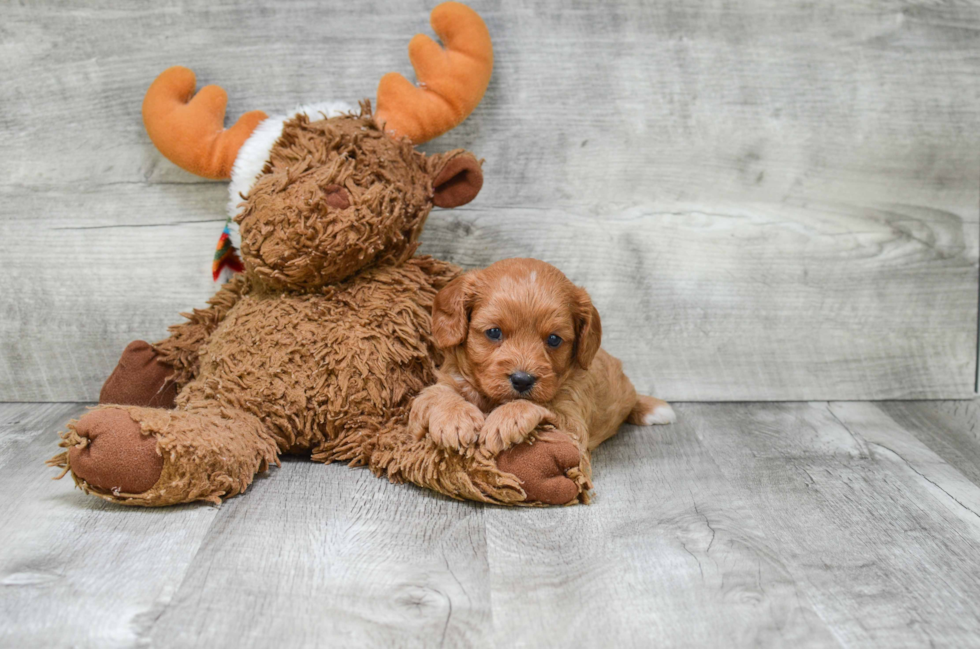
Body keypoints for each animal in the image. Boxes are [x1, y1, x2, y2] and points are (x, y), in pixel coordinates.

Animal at [406, 256, 672, 504]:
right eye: (494, 332)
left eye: (554, 339)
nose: (522, 380)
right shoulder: (447, 380)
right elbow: (435, 394)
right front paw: (455, 419)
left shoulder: (573, 422)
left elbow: (543, 404)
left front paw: (507, 418)